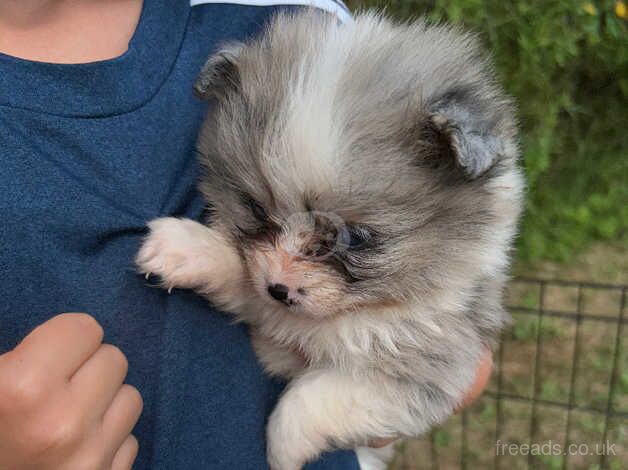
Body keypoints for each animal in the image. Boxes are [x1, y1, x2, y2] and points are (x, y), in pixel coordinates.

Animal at [137, 11, 524, 470]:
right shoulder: (271, 319)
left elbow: (310, 397)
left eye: (352, 238)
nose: (279, 290)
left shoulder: (425, 370)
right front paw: (186, 248)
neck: (356, 313)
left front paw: (282, 451)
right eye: (255, 209)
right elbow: (243, 272)